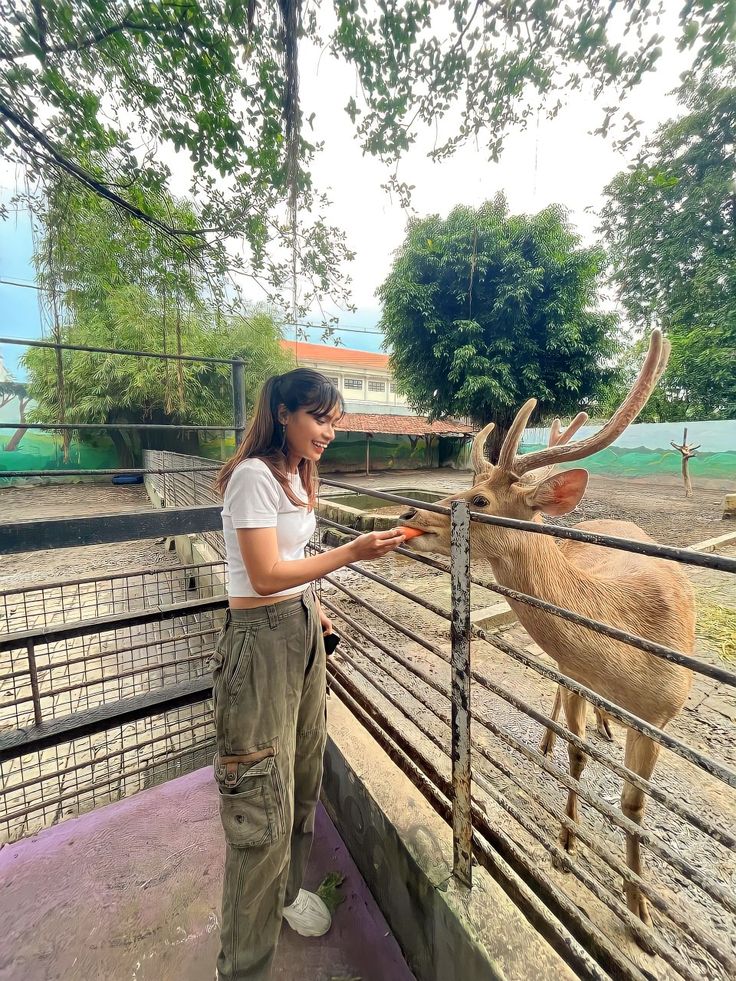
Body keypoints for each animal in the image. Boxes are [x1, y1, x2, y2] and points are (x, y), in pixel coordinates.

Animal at [400, 332, 692, 940]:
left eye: (480, 500)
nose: (410, 513)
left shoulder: (661, 714)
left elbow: (634, 808)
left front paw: (640, 918)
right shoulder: (579, 673)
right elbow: (578, 762)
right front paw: (563, 847)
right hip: (565, 672)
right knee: (562, 709)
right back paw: (550, 741)